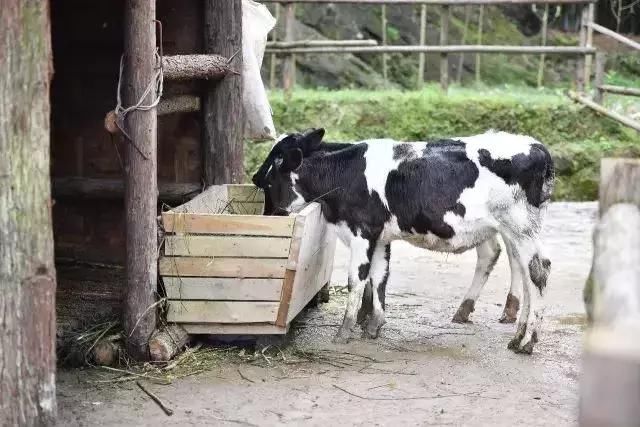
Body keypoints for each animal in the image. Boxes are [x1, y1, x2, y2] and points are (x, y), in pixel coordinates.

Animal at [252, 128, 552, 354]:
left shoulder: (362, 232)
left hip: (520, 226)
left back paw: (527, 341)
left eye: (268, 182)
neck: (345, 174)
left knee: (537, 271)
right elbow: (378, 277)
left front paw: (345, 330)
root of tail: (537, 146)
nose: (254, 177)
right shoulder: (380, 237)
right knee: (523, 272)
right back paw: (517, 335)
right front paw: (373, 324)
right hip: (516, 231)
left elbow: (356, 280)